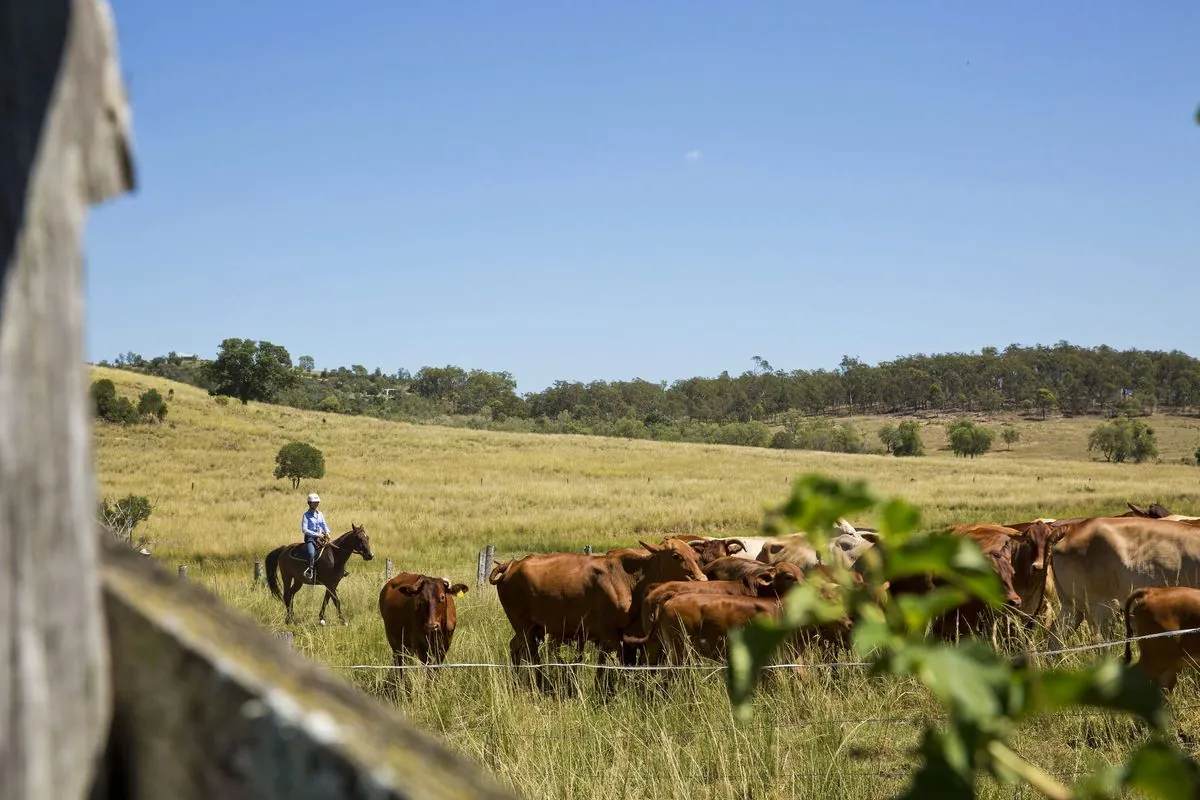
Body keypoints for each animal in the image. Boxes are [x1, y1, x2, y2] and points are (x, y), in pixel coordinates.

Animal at [487, 537, 705, 676]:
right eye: (676, 555)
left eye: (695, 556)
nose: (702, 579)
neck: (631, 579)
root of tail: (512, 565)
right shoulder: (610, 635)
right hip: (524, 627)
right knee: (530, 655)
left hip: (532, 629)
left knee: (516, 649)